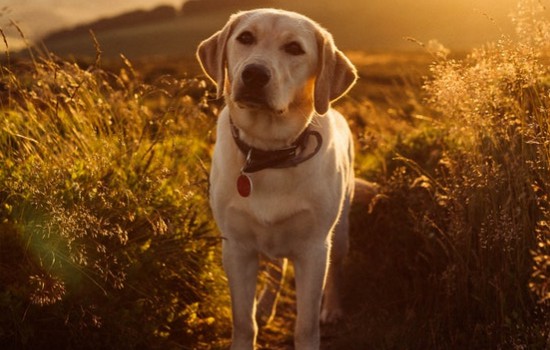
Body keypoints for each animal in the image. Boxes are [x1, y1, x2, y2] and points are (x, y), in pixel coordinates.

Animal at [197, 8, 358, 350]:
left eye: (294, 48)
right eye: (245, 37)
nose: (255, 74)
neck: (267, 152)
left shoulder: (314, 249)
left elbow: (306, 326)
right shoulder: (237, 247)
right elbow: (243, 322)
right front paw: (251, 323)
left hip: (340, 233)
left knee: (336, 270)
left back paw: (332, 309)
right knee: (276, 268)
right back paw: (266, 305)